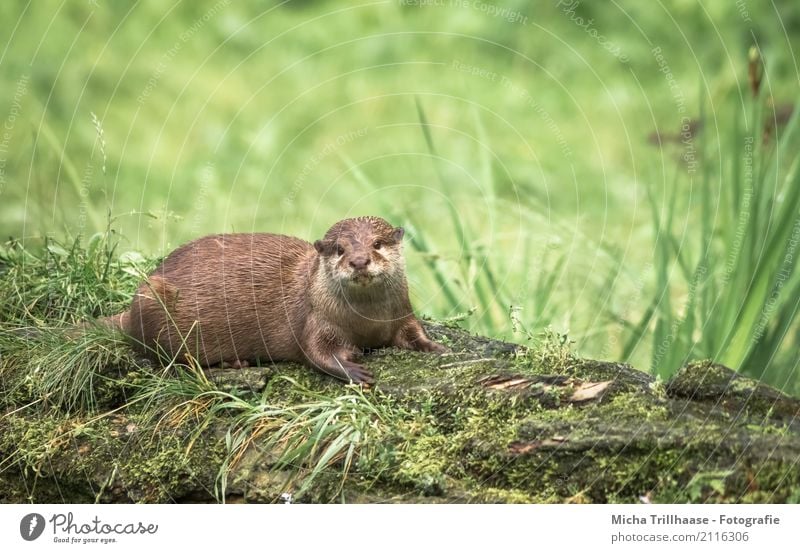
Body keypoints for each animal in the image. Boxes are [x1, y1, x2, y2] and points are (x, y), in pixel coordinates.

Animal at [107, 216, 446, 384]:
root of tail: (128, 313)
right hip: (152, 301)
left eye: (377, 244)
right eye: (340, 249)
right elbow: (315, 352)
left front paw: (434, 347)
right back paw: (231, 362)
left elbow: (412, 332)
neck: (366, 322)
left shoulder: (401, 312)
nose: (359, 261)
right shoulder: (315, 318)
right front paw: (353, 370)